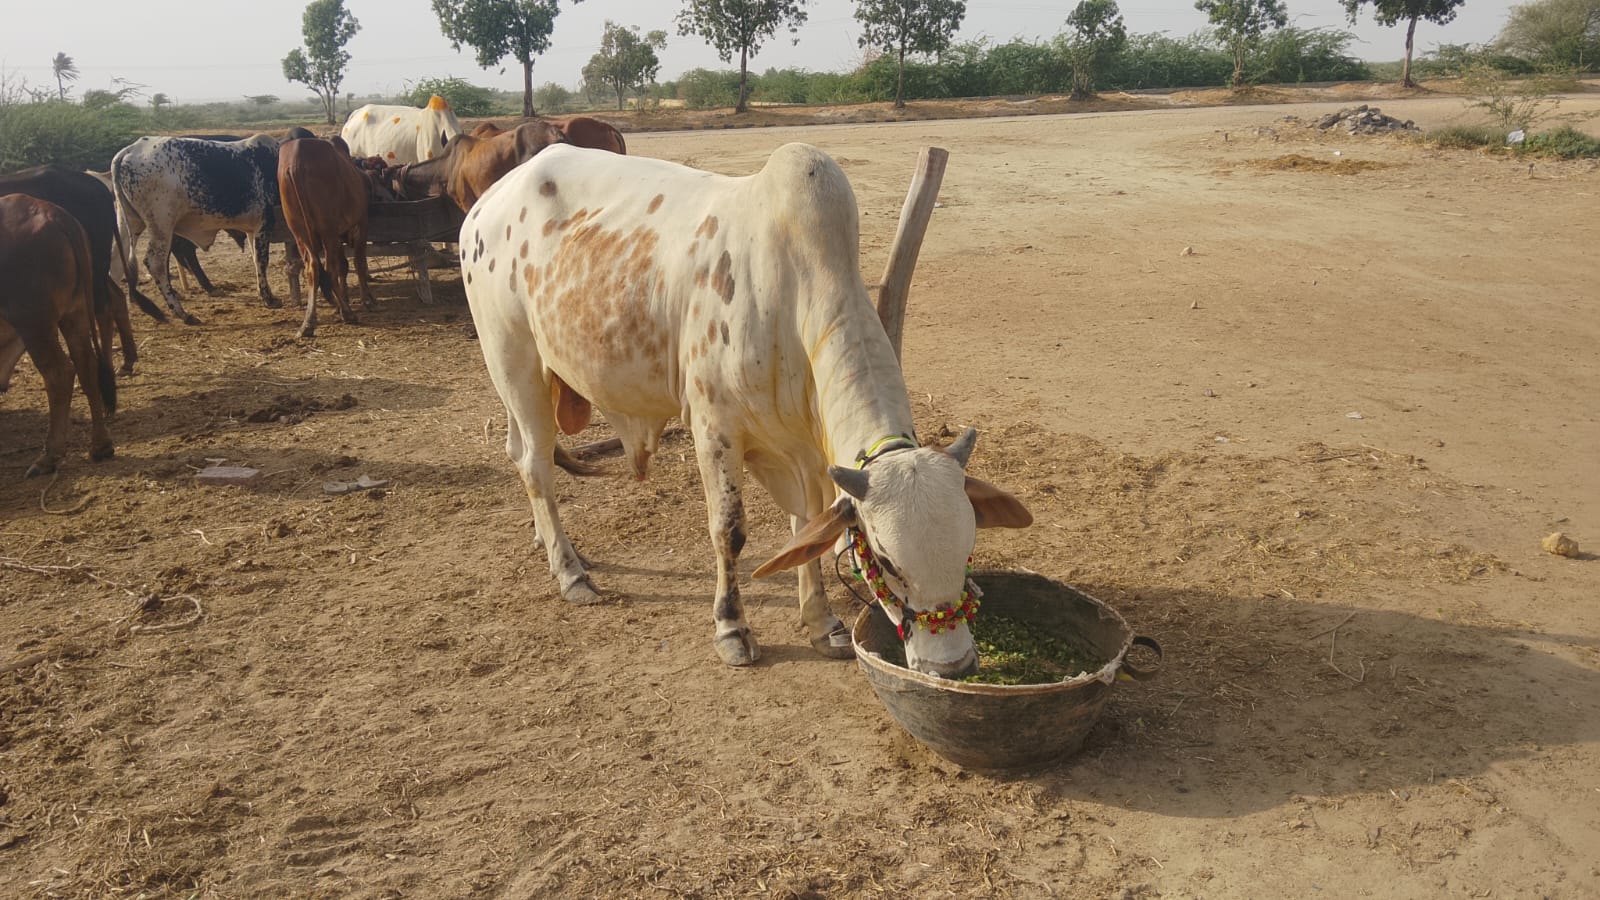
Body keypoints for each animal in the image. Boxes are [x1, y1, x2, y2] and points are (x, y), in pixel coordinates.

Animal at [0, 194, 115, 477]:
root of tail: (51, 213)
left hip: (34, 322)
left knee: (60, 373)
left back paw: (49, 456)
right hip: (75, 314)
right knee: (86, 365)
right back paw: (100, 445)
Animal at [111, 134, 289, 325]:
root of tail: (131, 149)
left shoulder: (252, 228)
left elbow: (256, 260)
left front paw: (264, 294)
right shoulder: (264, 224)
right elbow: (262, 261)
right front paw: (269, 299)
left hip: (128, 223)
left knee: (115, 263)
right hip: (161, 225)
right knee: (156, 263)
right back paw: (183, 313)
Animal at [459, 143, 1032, 676]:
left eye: (967, 548)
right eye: (887, 560)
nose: (953, 667)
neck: (794, 289)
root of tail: (486, 203)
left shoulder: (805, 448)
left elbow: (807, 529)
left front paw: (823, 624)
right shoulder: (715, 426)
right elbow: (729, 532)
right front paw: (732, 628)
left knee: (519, 454)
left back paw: (550, 540)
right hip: (514, 362)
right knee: (535, 465)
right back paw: (570, 571)